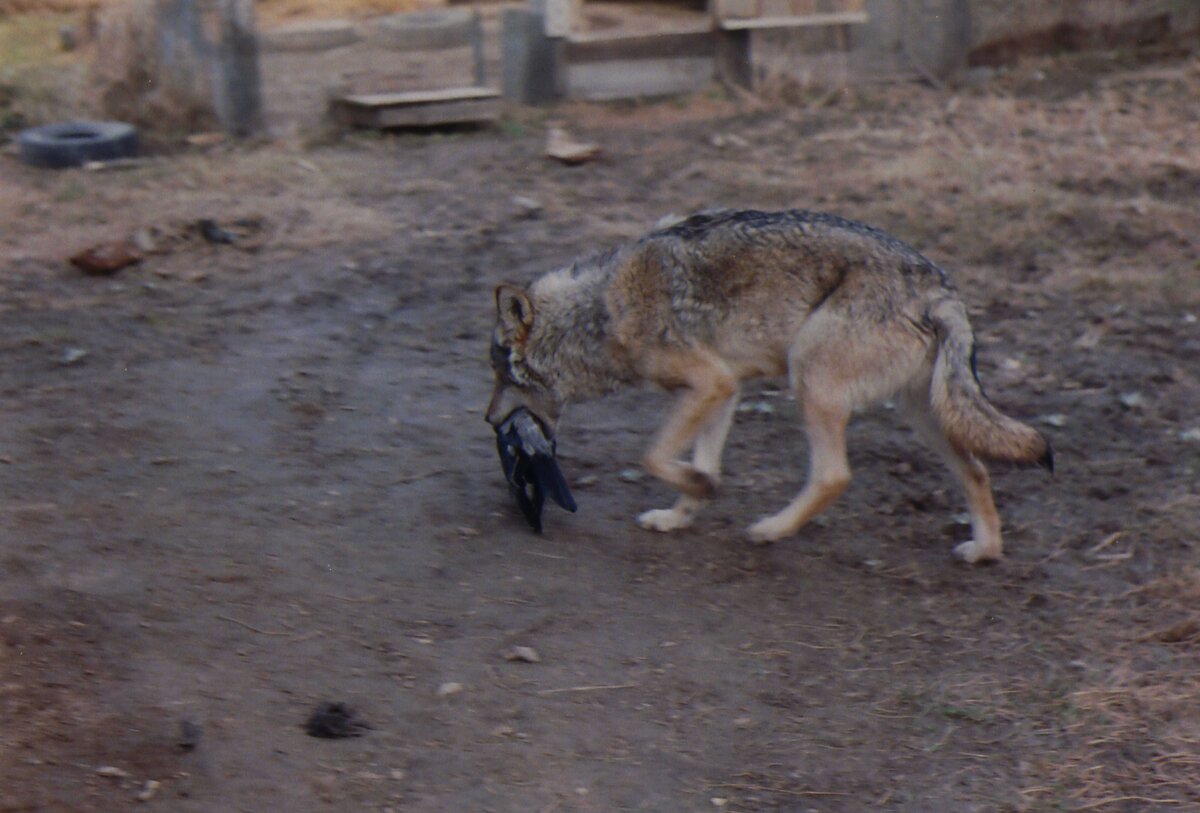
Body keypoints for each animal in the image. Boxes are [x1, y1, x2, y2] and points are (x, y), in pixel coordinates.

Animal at [484, 209, 1051, 563]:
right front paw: (681, 513)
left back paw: (772, 530)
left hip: (811, 378)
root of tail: (938, 286)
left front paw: (699, 489)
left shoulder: (709, 383)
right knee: (977, 471)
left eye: (502, 373)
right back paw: (985, 552)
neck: (599, 311)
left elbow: (654, 456)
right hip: (924, 413)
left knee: (834, 476)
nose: (488, 418)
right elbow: (697, 463)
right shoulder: (724, 389)